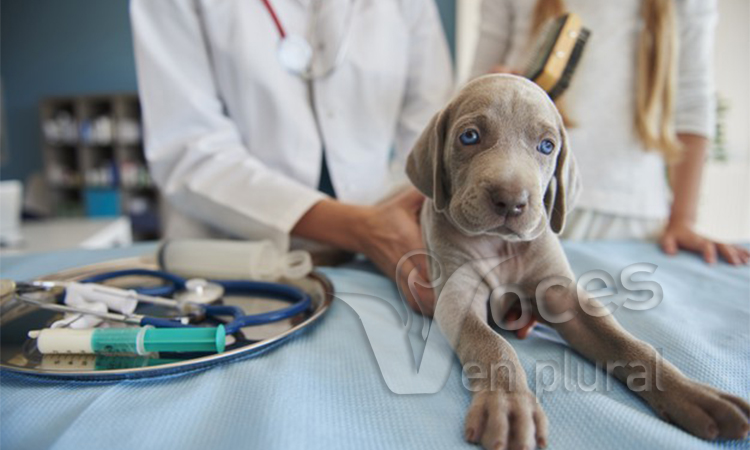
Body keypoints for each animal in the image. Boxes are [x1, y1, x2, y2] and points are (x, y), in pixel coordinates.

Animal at [412, 75, 750, 450]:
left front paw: (692, 394)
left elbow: (628, 343)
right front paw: (510, 407)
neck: (501, 246)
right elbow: (490, 344)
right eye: (469, 137)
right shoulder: (457, 297)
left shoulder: (564, 296)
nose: (511, 201)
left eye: (546, 146)